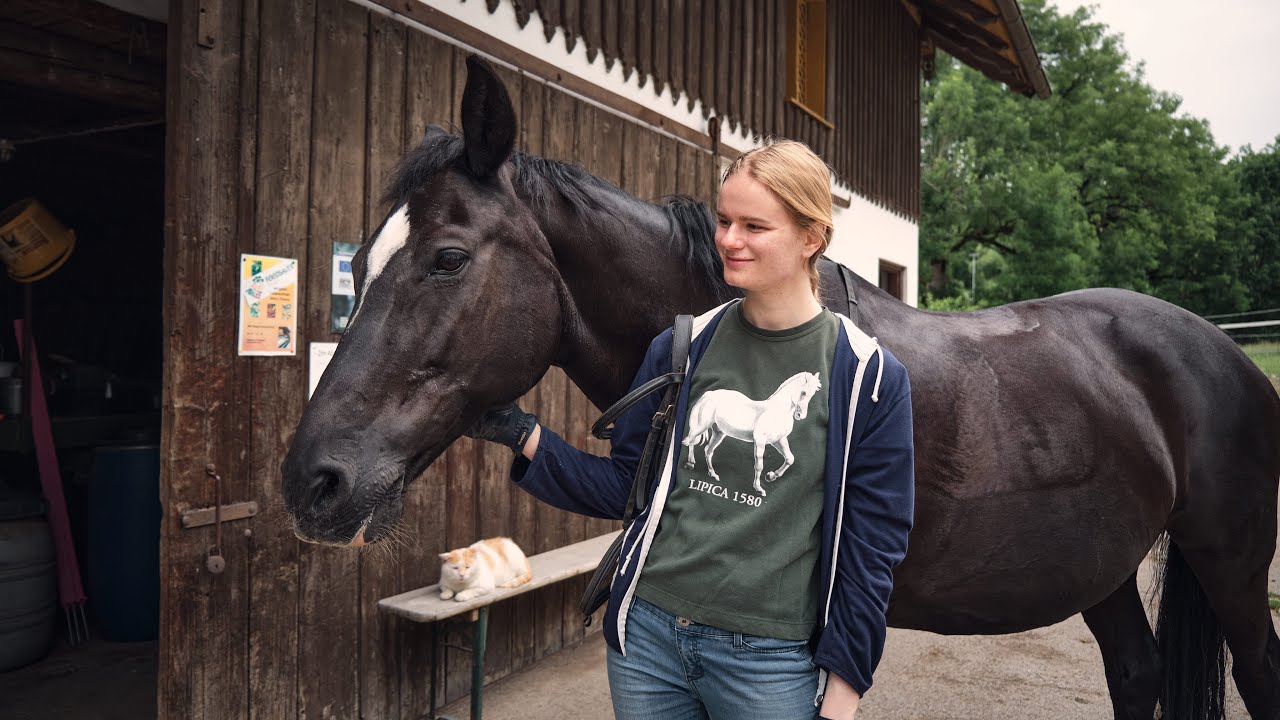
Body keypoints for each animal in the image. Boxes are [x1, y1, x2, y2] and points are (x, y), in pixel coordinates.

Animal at [683, 370, 823, 495]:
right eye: (803, 392)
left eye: (813, 394)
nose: (800, 415)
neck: (777, 411)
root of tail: (708, 394)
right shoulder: (760, 441)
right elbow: (759, 466)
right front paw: (759, 489)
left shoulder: (779, 440)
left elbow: (790, 458)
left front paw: (771, 476)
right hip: (702, 425)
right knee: (691, 439)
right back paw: (690, 463)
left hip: (719, 433)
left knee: (708, 450)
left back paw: (713, 474)